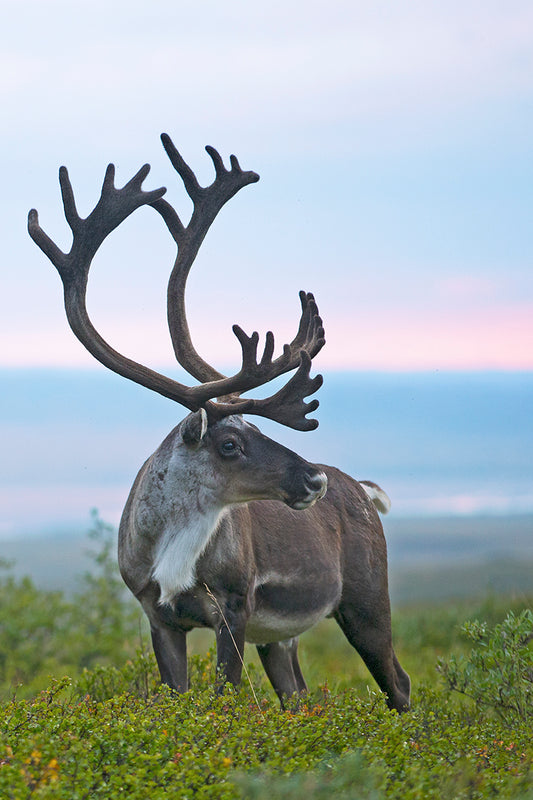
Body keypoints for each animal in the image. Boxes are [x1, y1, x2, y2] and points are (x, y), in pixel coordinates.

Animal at [29, 136, 410, 712]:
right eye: (229, 442)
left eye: (257, 431)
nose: (314, 479)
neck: (173, 547)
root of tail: (363, 491)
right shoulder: (158, 617)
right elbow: (179, 695)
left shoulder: (233, 608)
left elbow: (225, 698)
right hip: (282, 637)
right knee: (298, 696)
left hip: (367, 598)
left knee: (398, 683)